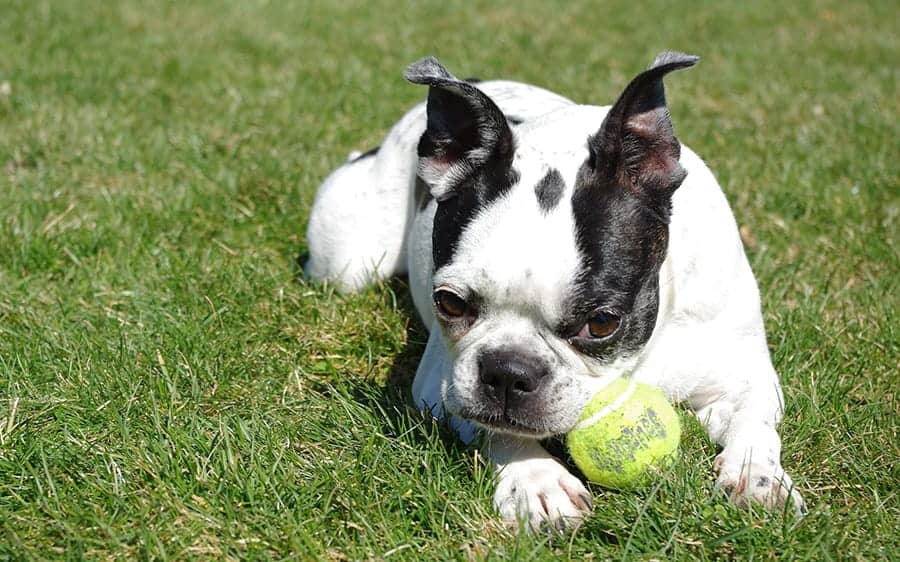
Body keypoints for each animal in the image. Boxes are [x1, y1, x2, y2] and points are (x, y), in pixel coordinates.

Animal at [304, 52, 808, 528]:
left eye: (601, 322)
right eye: (448, 302)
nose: (508, 371)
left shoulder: (745, 376)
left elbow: (754, 422)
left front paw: (757, 477)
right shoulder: (441, 385)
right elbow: (497, 428)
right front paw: (537, 481)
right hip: (348, 263)